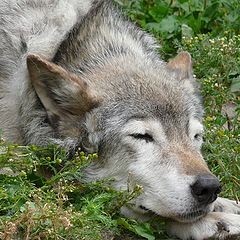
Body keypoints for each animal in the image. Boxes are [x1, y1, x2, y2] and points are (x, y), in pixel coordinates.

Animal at [0, 0, 240, 239]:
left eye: (196, 136)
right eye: (142, 136)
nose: (209, 187)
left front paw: (226, 204)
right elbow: (152, 216)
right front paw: (217, 222)